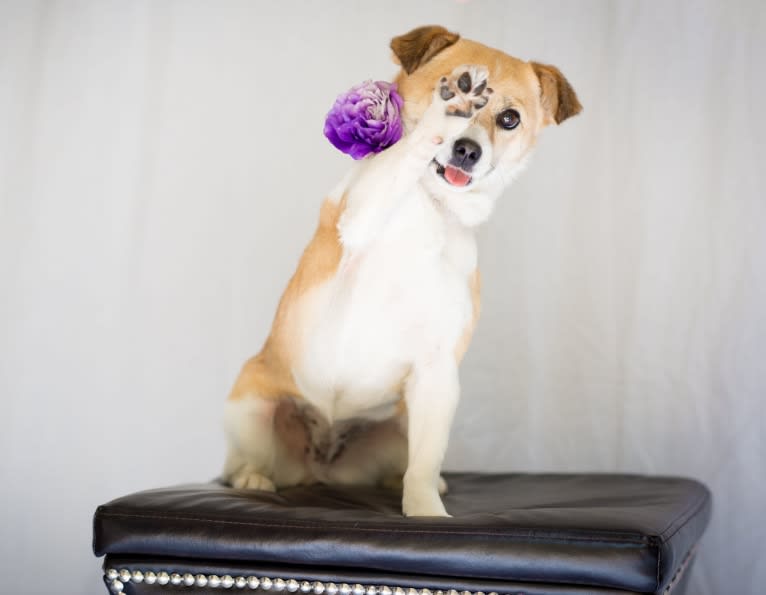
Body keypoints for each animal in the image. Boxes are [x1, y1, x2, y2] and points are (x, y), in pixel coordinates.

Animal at [222, 25, 584, 516]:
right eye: (451, 85)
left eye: (510, 119)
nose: (467, 149)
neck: (430, 207)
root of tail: (321, 465)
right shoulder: (358, 220)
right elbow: (393, 168)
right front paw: (439, 118)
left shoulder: (437, 372)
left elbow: (425, 465)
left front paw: (426, 511)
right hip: (251, 408)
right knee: (247, 460)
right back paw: (252, 478)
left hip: (397, 429)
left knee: (409, 461)